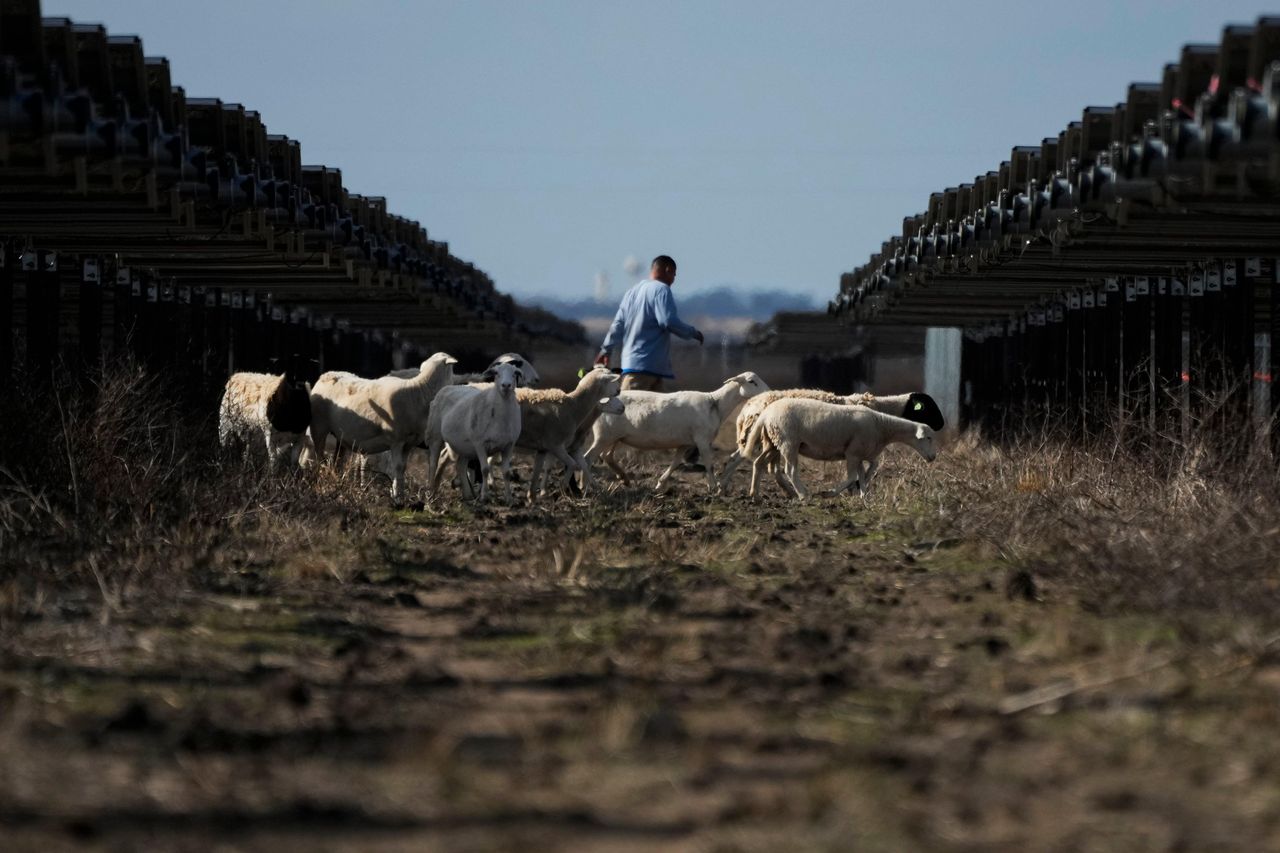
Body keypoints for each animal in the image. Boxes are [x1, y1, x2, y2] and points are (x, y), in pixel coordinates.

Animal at [307, 350, 458, 499]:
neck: (419, 393)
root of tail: (326, 375)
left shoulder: (409, 443)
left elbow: (403, 467)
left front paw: (401, 494)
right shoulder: (396, 440)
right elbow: (397, 467)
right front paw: (397, 496)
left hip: (340, 436)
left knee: (337, 460)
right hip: (319, 427)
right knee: (319, 457)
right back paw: (319, 480)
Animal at [427, 356, 522, 502]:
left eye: (514, 373)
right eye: (496, 374)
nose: (506, 385)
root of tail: (449, 387)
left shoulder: (508, 446)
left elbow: (506, 472)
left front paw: (509, 499)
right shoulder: (480, 444)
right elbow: (485, 469)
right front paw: (484, 496)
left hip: (463, 445)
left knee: (460, 465)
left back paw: (467, 495)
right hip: (435, 435)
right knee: (433, 462)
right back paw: (431, 492)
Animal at [583, 371, 768, 491]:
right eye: (752, 381)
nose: (768, 392)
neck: (715, 403)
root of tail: (599, 401)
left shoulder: (685, 443)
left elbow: (675, 463)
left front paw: (660, 484)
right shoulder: (702, 439)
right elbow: (709, 464)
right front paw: (713, 487)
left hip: (614, 437)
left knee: (606, 456)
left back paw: (624, 479)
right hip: (604, 436)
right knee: (587, 458)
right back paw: (587, 486)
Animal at [727, 389, 947, 489]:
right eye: (928, 407)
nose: (942, 425)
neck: (882, 410)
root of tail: (747, 408)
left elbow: (866, 470)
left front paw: (858, 488)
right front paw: (855, 488)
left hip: (767, 442)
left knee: (749, 461)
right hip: (765, 439)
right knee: (743, 460)